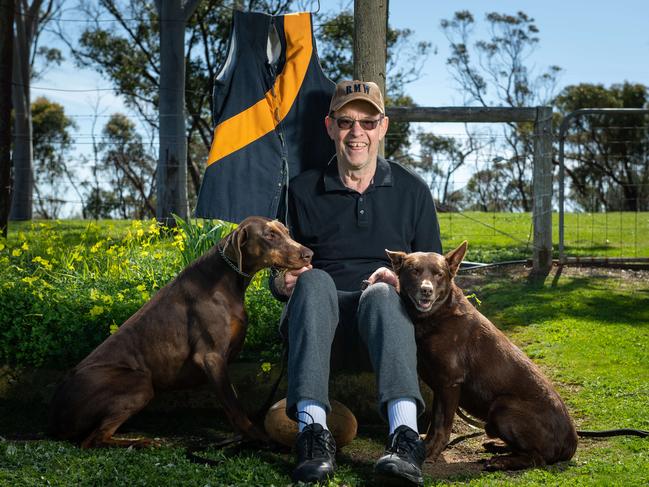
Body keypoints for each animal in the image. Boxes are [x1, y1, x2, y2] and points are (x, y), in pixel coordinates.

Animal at [49, 217, 312, 450]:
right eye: (269, 235)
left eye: (286, 231)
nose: (309, 254)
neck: (226, 277)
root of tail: (56, 416)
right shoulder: (211, 356)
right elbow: (234, 406)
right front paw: (256, 437)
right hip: (140, 383)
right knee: (91, 441)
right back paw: (143, 442)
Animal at [384, 244, 576, 472]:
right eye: (415, 271)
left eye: (439, 274)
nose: (426, 290)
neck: (437, 315)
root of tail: (571, 443)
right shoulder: (440, 386)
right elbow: (433, 424)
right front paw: (424, 444)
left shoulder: (450, 384)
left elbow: (442, 425)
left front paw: (431, 453)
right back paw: (496, 446)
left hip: (502, 408)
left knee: (537, 458)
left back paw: (500, 461)